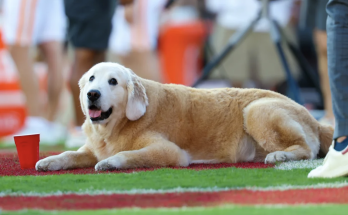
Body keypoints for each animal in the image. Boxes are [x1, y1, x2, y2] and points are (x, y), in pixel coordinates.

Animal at [34, 62, 332, 171]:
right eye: (92, 79)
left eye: (113, 82)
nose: (92, 94)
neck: (114, 128)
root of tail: (316, 119)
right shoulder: (91, 148)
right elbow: (70, 154)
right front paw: (50, 160)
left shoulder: (169, 151)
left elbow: (129, 154)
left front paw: (110, 162)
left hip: (257, 110)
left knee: (307, 149)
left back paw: (280, 156)